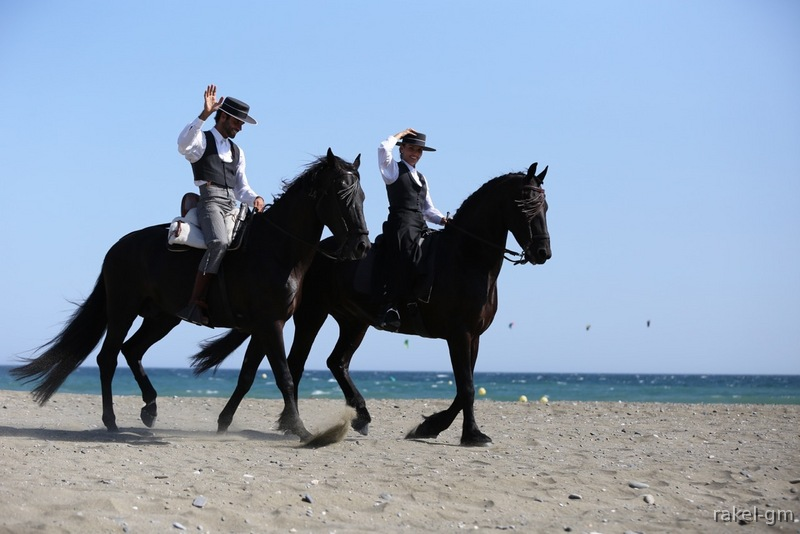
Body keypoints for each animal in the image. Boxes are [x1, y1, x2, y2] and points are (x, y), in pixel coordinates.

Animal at [12, 148, 370, 440]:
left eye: (363, 196)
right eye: (341, 193)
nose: (362, 246)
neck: (277, 250)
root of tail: (118, 247)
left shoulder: (263, 327)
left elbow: (247, 376)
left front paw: (224, 423)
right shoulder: (271, 326)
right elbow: (284, 376)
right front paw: (300, 430)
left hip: (162, 317)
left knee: (132, 351)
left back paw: (150, 409)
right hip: (123, 310)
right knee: (108, 357)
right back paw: (111, 421)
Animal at [190, 162, 550, 446]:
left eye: (545, 206)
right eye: (525, 206)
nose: (543, 253)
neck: (466, 258)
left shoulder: (472, 336)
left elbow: (465, 387)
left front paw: (432, 428)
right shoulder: (459, 334)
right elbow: (468, 387)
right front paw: (466, 434)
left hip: (354, 321)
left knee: (336, 362)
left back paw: (357, 416)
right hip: (312, 316)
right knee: (296, 364)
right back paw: (294, 424)